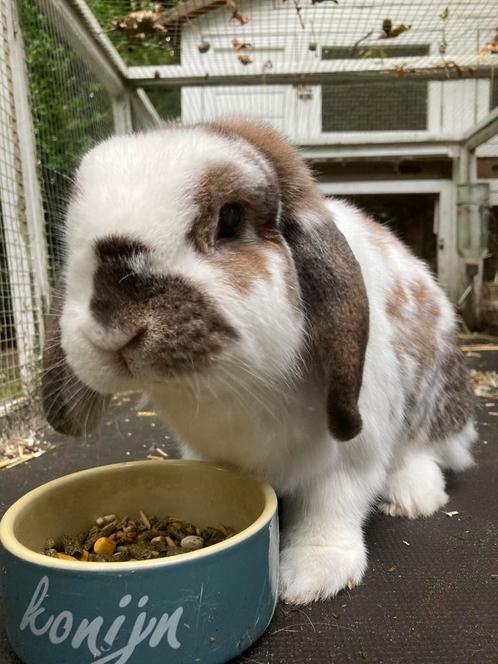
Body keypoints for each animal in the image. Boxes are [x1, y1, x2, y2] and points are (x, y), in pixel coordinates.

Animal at [44, 118, 476, 600]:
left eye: (231, 217)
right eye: (71, 233)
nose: (112, 327)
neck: (229, 387)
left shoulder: (349, 456)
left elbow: (331, 508)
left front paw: (310, 578)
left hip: (434, 400)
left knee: (429, 448)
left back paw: (415, 496)